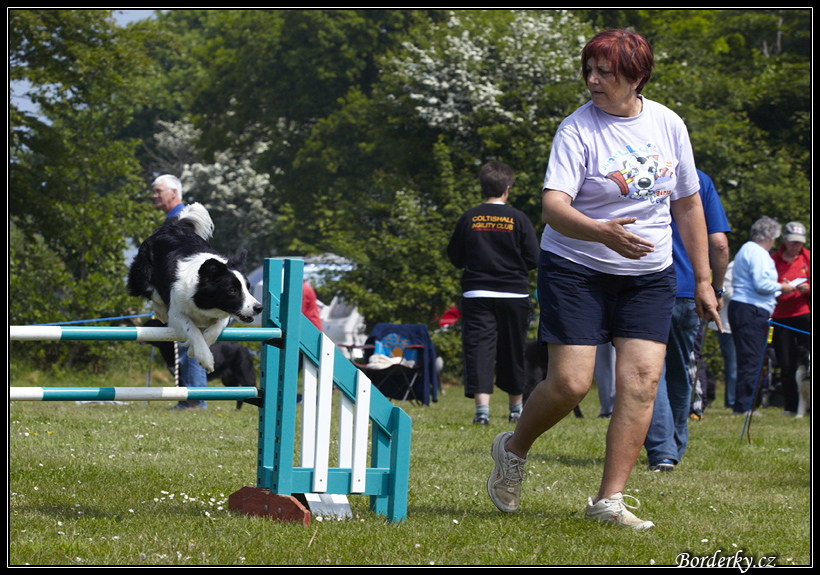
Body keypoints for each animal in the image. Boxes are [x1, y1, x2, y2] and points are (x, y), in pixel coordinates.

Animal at [125, 202, 262, 374]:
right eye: (233, 290)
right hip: (143, 275)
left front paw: (194, 350)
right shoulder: (176, 311)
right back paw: (160, 312)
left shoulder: (226, 312)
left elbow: (214, 329)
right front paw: (205, 358)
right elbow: (192, 329)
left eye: (247, 287)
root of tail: (172, 226)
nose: (259, 308)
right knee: (152, 293)